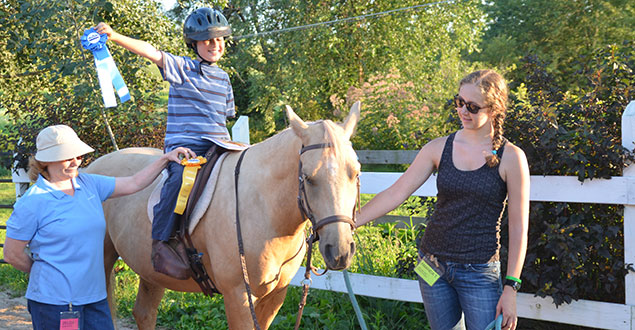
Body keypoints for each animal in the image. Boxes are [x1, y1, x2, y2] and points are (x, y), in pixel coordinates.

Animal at [85, 102, 362, 328]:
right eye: (308, 177)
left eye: (356, 173)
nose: (340, 250)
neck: (265, 210)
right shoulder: (238, 296)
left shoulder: (275, 296)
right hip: (103, 261)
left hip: (151, 271)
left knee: (144, 313)